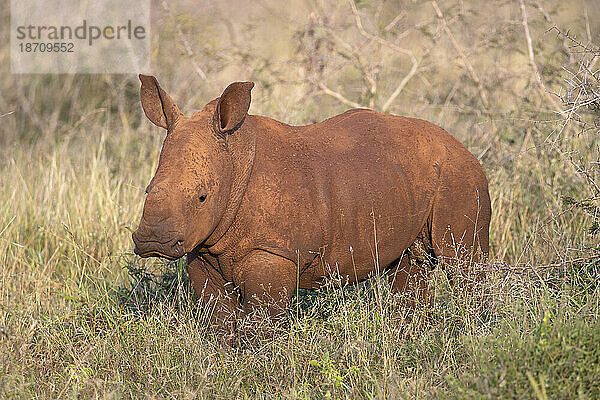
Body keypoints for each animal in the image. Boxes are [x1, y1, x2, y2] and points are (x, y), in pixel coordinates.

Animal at [132, 75, 492, 324]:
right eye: (147, 189)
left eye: (202, 196)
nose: (152, 241)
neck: (235, 157)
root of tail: (462, 146)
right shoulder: (202, 248)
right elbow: (219, 319)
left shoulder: (274, 251)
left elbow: (261, 322)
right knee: (409, 266)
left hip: (459, 175)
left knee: (464, 262)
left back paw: (477, 329)